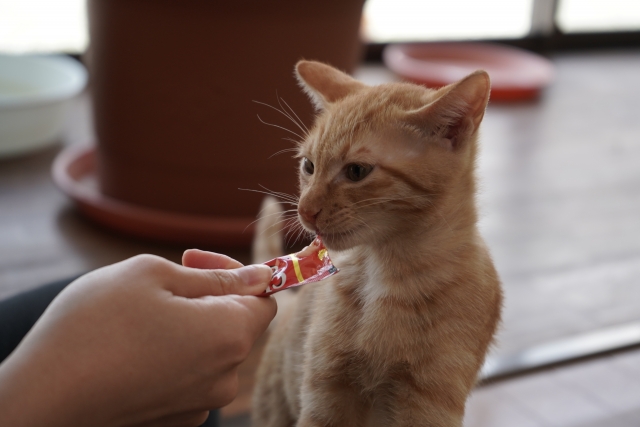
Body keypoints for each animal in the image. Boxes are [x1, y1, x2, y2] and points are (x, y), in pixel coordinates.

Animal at [252, 61, 502, 427]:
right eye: (309, 166)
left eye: (357, 171)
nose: (304, 211)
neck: (384, 271)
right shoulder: (325, 393)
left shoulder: (427, 405)